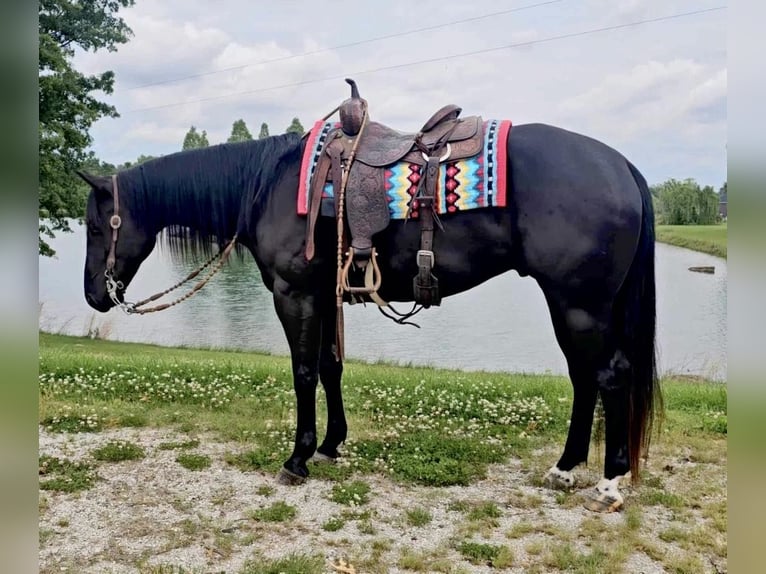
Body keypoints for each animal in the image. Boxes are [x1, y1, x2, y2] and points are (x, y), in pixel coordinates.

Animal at [81, 98, 664, 512]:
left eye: (94, 225)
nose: (93, 294)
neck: (270, 185)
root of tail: (620, 165)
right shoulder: (325, 295)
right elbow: (329, 367)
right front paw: (331, 444)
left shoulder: (295, 294)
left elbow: (303, 371)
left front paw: (298, 457)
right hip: (575, 305)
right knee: (584, 378)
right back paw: (565, 468)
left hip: (579, 304)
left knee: (609, 376)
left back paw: (609, 483)